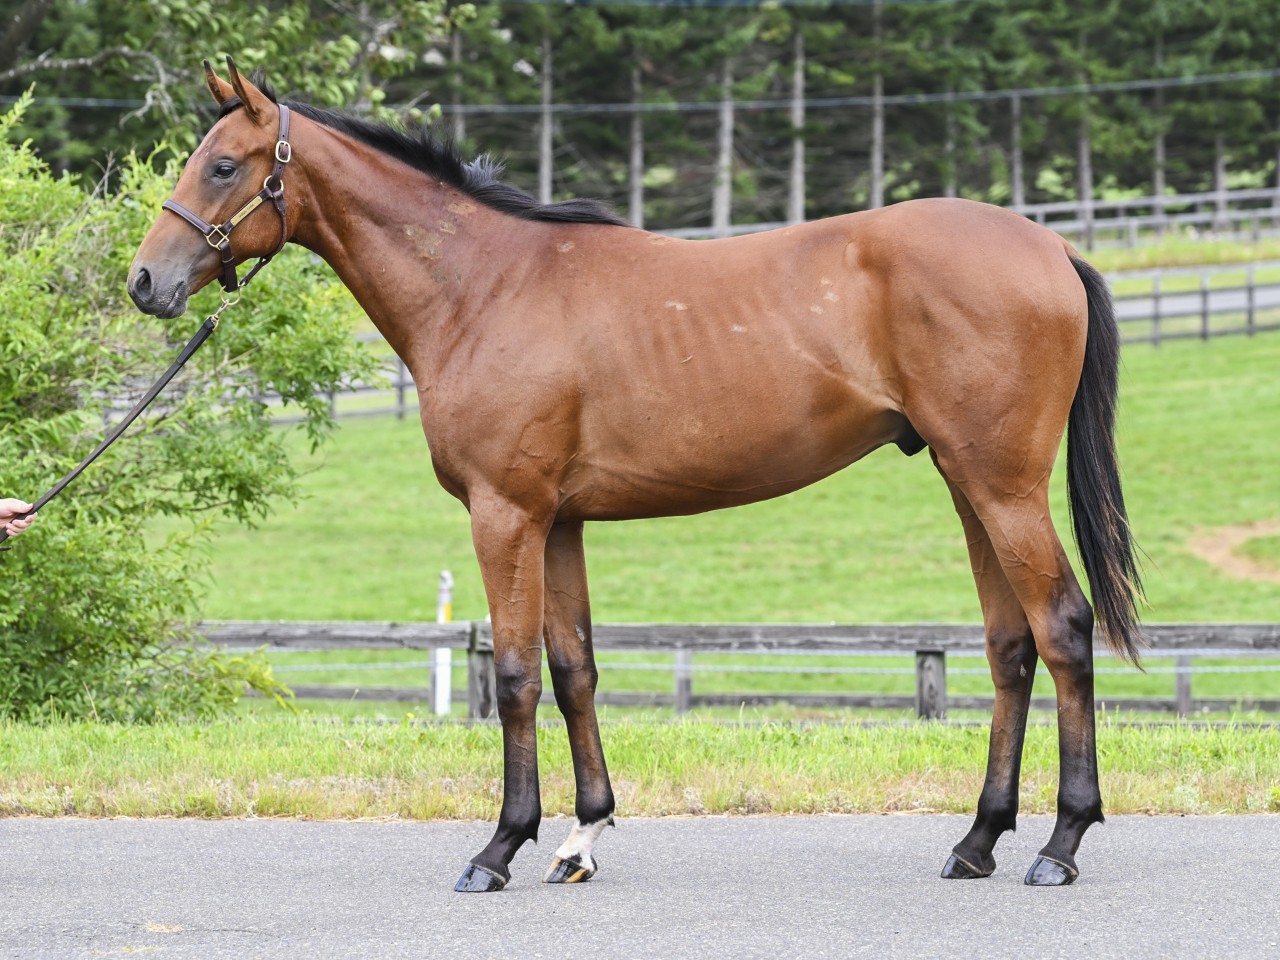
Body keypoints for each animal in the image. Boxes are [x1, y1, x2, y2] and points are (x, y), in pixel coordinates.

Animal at [128, 58, 1143, 892]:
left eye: (224, 167)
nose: (146, 283)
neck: (484, 287)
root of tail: (1051, 248)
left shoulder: (505, 516)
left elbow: (515, 676)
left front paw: (500, 846)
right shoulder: (560, 522)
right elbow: (575, 669)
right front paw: (582, 838)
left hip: (1003, 487)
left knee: (1063, 629)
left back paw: (1061, 843)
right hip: (969, 487)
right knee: (1010, 648)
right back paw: (977, 842)